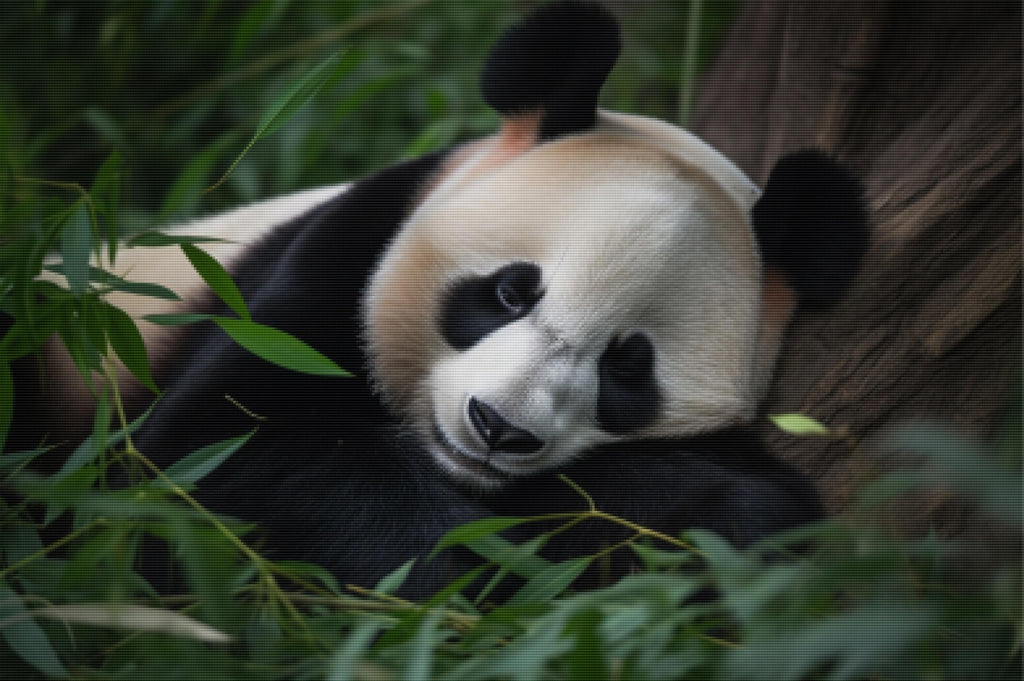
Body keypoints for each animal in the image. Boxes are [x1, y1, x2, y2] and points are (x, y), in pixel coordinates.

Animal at [14, 1, 869, 597]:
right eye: (510, 292)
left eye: (629, 366)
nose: (498, 427)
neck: (449, 465)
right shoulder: (318, 279)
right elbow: (218, 460)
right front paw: (461, 575)